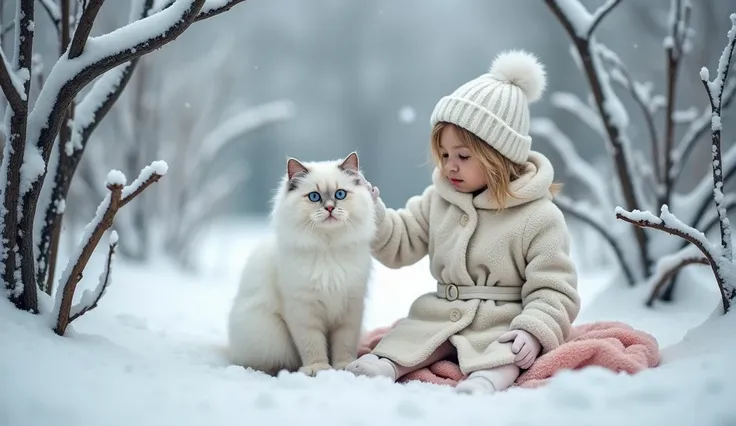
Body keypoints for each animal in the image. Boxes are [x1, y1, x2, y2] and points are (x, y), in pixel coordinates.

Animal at [226, 152, 376, 376]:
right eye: (314, 197)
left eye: (340, 194)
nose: (330, 208)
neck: (328, 252)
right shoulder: (302, 310)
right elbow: (312, 345)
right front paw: (318, 369)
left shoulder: (350, 309)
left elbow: (344, 345)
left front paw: (343, 367)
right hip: (269, 334)